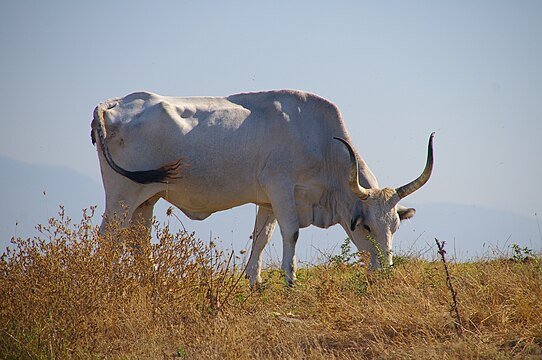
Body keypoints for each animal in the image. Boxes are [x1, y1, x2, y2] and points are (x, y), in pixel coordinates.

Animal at [91, 88, 436, 286]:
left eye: (394, 227)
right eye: (365, 226)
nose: (385, 273)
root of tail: (112, 103)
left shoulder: (268, 201)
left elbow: (261, 236)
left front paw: (254, 281)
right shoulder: (281, 188)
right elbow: (290, 233)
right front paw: (289, 280)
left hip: (145, 199)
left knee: (139, 240)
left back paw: (152, 282)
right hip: (121, 197)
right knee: (108, 236)